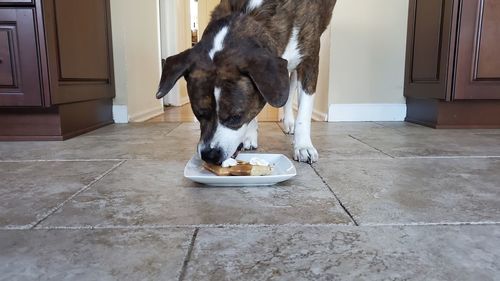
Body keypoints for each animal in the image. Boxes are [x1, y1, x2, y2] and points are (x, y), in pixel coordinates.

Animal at [156, 0, 336, 164]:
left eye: (236, 117)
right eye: (199, 114)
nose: (209, 156)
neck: (250, 15)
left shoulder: (310, 57)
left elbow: (304, 109)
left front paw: (303, 146)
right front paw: (249, 135)